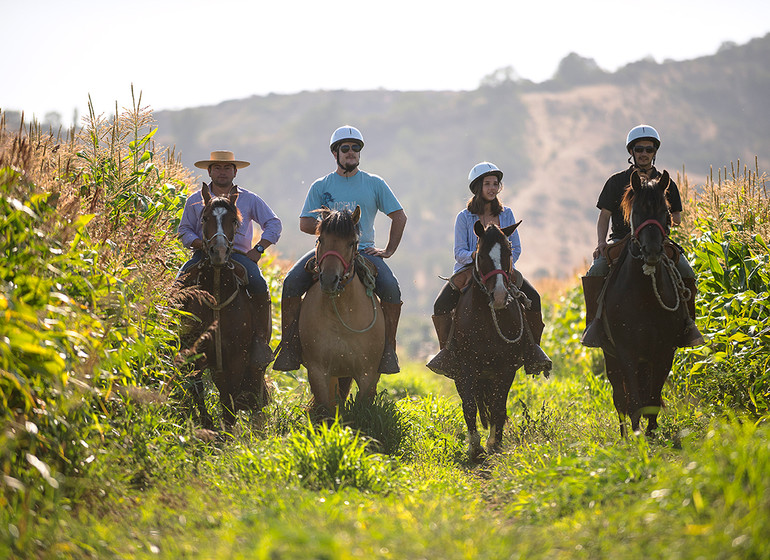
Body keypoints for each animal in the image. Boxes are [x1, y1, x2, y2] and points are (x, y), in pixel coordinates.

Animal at [178, 184, 268, 428]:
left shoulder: (238, 357)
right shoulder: (195, 353)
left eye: (234, 221)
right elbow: (198, 389)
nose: (218, 252)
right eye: (205, 218)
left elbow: (229, 399)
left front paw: (226, 430)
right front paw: (208, 425)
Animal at [298, 206, 388, 416]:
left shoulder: (367, 374)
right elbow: (326, 410)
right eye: (321, 239)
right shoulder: (318, 371)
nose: (329, 280)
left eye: (352, 243)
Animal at [444, 219, 540, 460]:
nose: (499, 296)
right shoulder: (466, 367)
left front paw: (494, 443)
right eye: (481, 255)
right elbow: (469, 405)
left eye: (508, 252)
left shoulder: (506, 368)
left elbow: (499, 406)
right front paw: (474, 447)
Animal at [592, 171, 688, 438]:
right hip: (610, 356)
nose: (652, 251)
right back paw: (625, 434)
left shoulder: (665, 350)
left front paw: (651, 432)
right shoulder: (626, 351)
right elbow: (632, 398)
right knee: (619, 397)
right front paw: (636, 435)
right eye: (636, 212)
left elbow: (652, 397)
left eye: (666, 211)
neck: (644, 295)